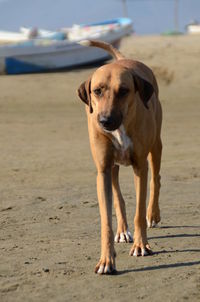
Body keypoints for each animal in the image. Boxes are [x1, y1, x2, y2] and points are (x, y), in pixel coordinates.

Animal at [77, 39, 162, 274]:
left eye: (124, 91)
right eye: (97, 91)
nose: (105, 121)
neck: (121, 126)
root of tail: (124, 59)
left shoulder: (140, 166)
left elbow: (139, 212)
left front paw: (141, 245)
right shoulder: (103, 169)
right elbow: (106, 219)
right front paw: (106, 260)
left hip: (156, 145)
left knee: (156, 179)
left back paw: (153, 214)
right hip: (113, 168)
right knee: (118, 197)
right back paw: (123, 230)